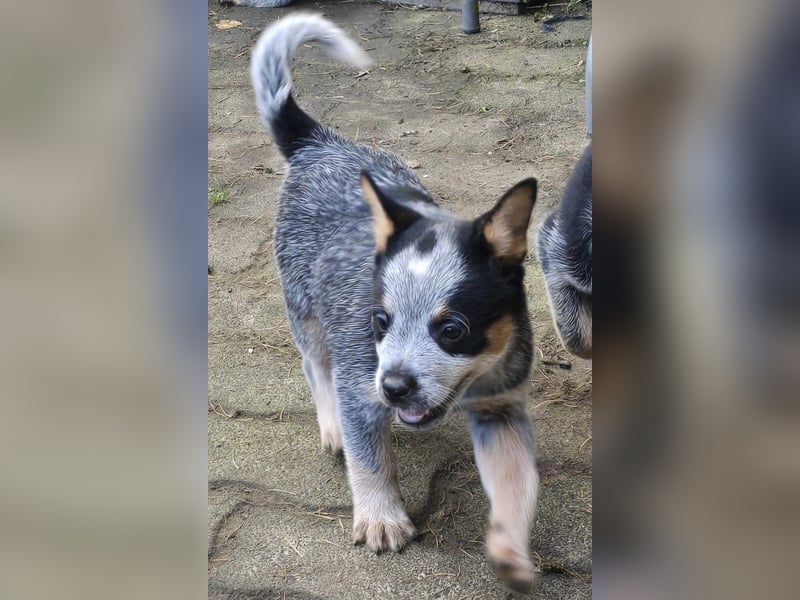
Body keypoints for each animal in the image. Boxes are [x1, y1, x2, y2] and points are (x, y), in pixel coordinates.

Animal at [247, 12, 540, 592]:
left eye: (452, 329)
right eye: (379, 320)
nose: (395, 387)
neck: (473, 380)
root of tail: (320, 142)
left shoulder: (500, 408)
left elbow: (518, 481)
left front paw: (511, 548)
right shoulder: (361, 385)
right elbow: (371, 459)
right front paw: (381, 516)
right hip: (306, 310)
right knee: (317, 366)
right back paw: (331, 424)